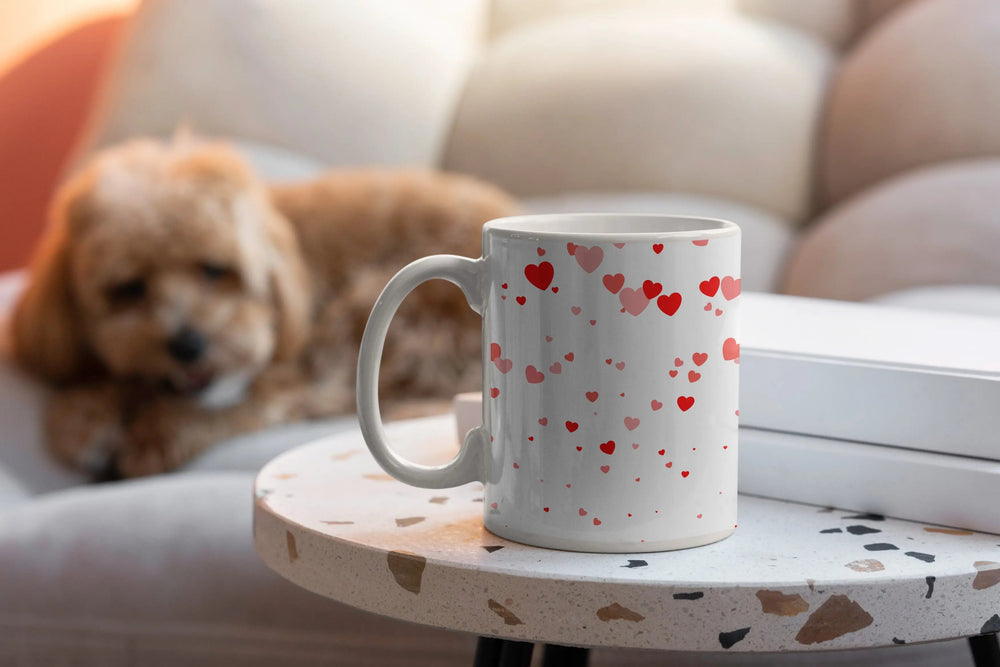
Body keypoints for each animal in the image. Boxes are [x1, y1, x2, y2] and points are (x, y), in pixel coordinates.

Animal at [11, 137, 516, 480]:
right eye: (129, 287)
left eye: (215, 269)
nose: (187, 344)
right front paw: (83, 414)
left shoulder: (284, 370)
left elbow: (239, 405)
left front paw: (153, 435)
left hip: (374, 305)